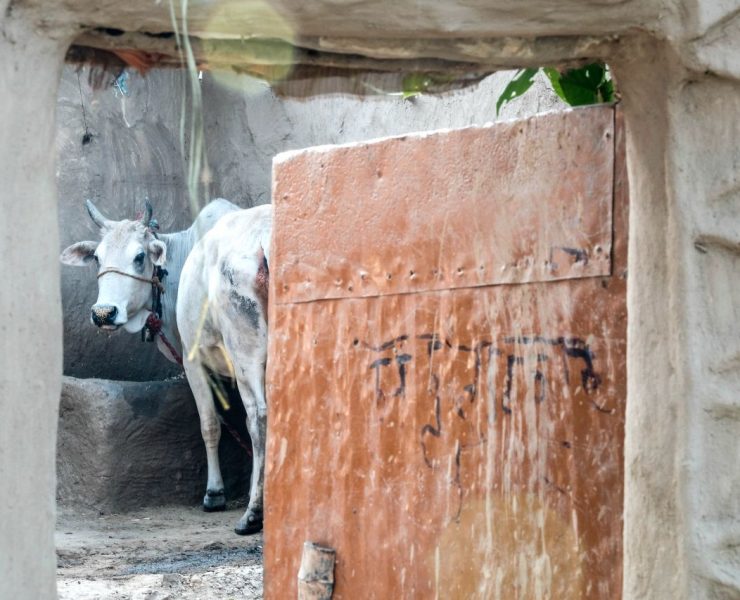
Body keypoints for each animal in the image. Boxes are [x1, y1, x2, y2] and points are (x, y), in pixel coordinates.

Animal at [60, 199, 271, 535]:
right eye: (97, 257)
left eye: (139, 256)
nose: (104, 313)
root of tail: (263, 240)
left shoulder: (194, 361)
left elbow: (210, 425)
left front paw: (215, 493)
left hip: (246, 349)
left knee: (259, 419)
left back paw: (253, 513)